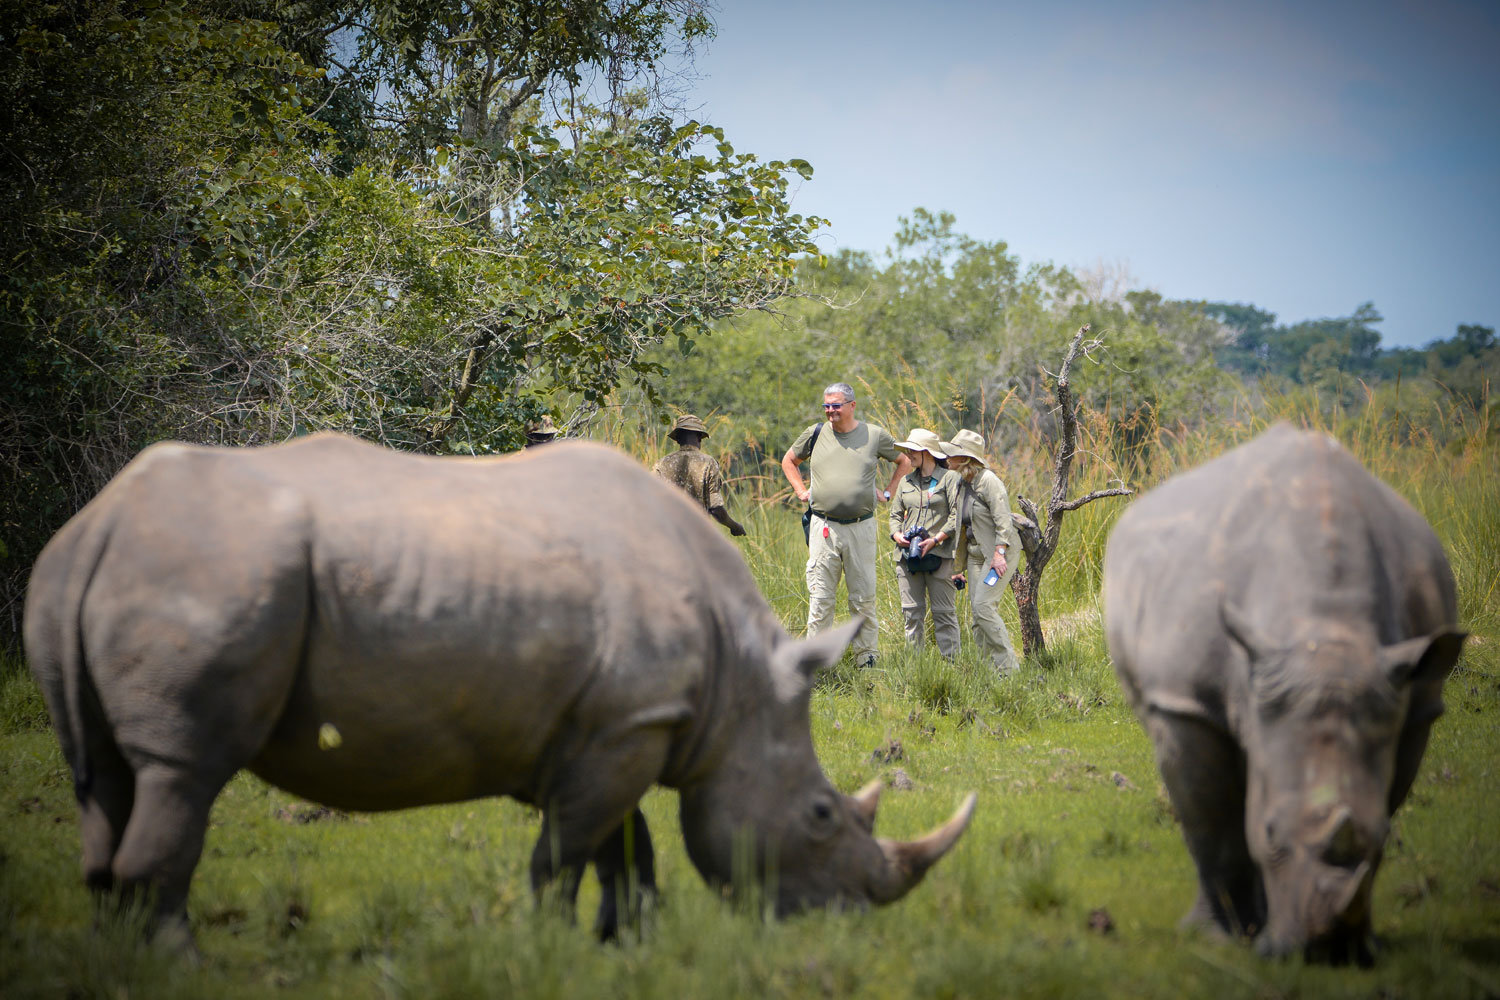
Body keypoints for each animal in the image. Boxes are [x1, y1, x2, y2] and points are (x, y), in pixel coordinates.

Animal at [24, 433, 975, 942]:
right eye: (819, 816)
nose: (845, 920)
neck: (739, 690)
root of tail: (98, 525)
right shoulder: (627, 727)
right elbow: (563, 857)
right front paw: (555, 947)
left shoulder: (621, 723)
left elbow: (626, 850)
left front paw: (624, 946)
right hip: (213, 572)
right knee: (182, 769)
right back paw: (174, 960)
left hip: (104, 576)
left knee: (107, 778)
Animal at [1102, 425, 1466, 965]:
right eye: (1271, 832)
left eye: (1384, 839)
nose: (1324, 953)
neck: (1326, 632)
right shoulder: (1187, 705)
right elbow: (1213, 825)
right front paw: (1219, 938)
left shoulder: (1414, 703)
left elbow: (1382, 799)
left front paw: (1364, 943)